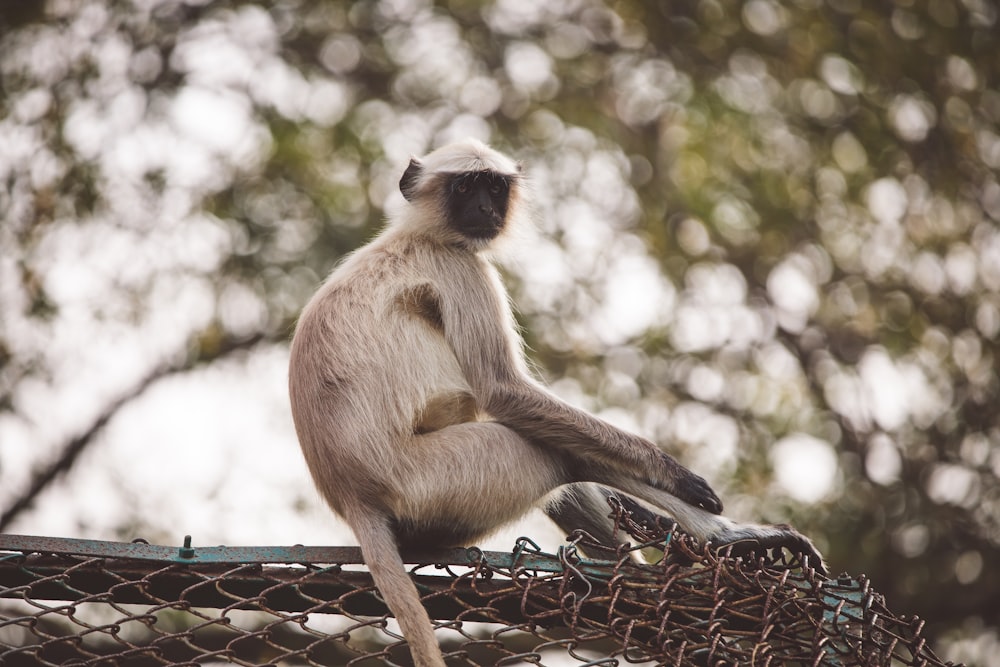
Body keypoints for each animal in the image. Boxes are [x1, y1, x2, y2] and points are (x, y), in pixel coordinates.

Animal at [288, 138, 820, 664]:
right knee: (554, 455)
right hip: (428, 483)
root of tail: (354, 497)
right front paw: (676, 476)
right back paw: (723, 542)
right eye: (464, 187)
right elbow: (504, 391)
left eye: (494, 188)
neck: (420, 233)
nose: (485, 210)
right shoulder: (460, 265)